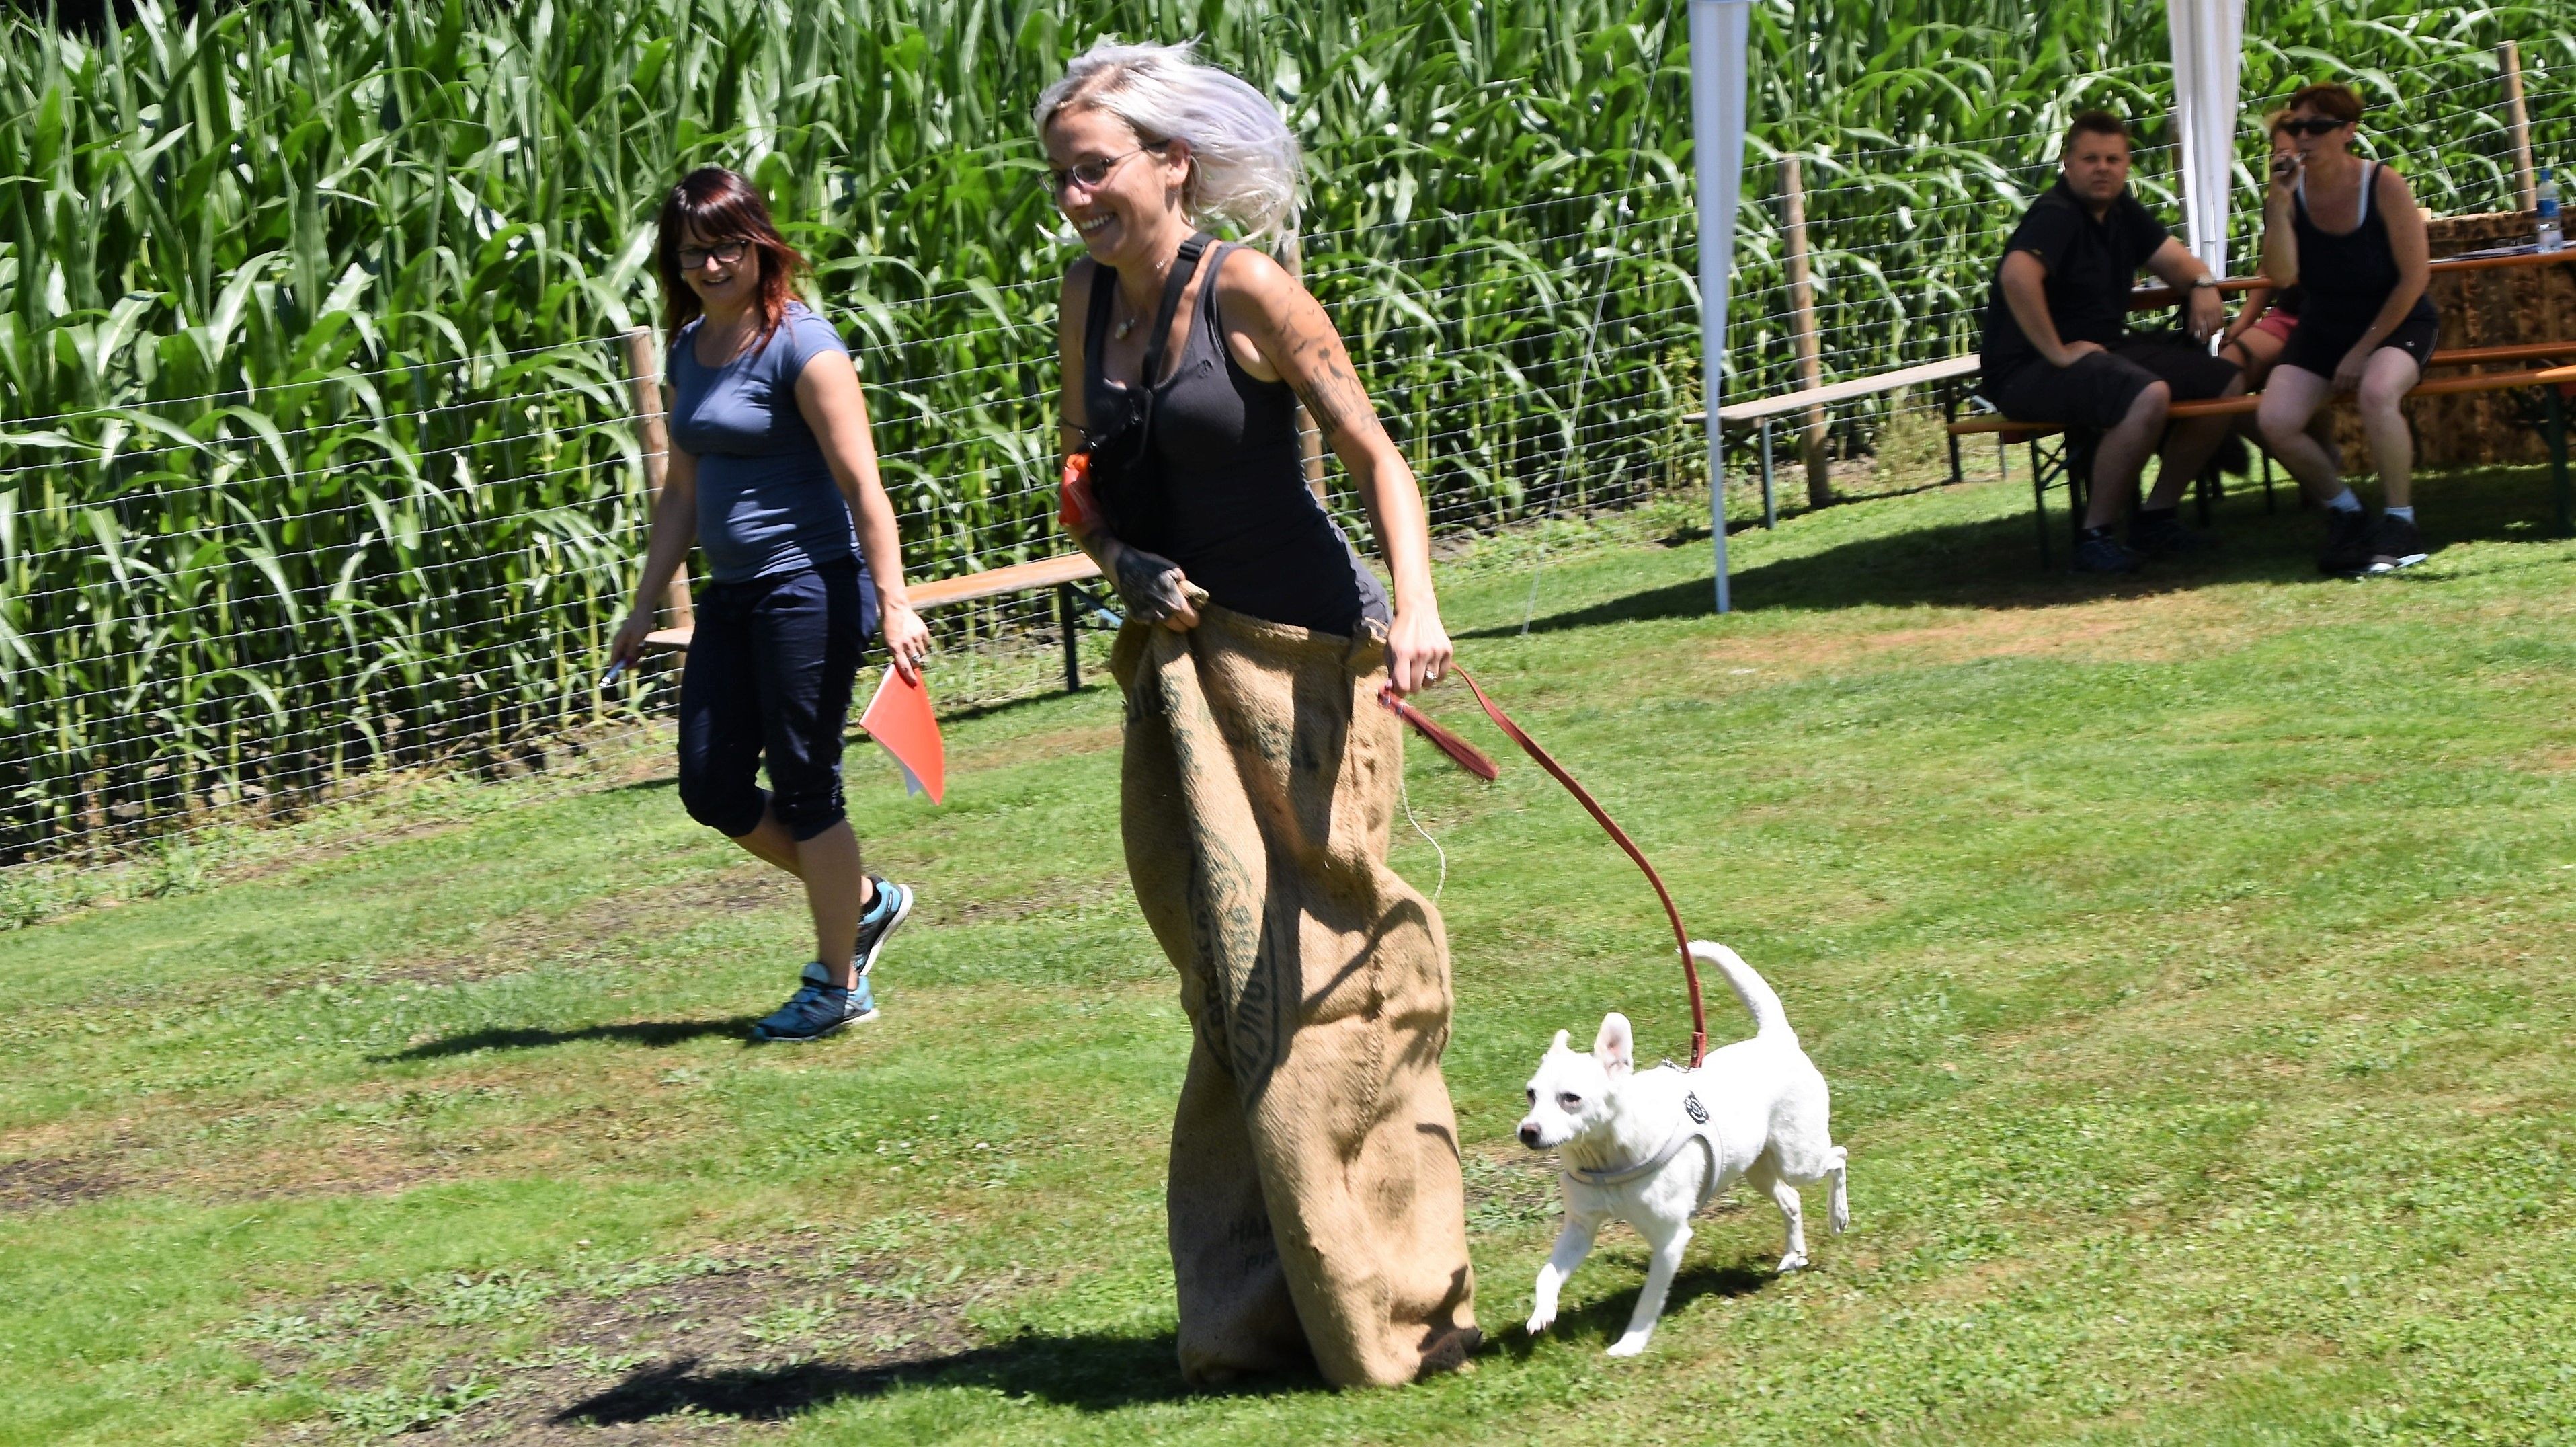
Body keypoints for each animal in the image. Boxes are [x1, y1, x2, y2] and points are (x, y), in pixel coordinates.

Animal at [1517, 941, 1848, 1356]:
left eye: (1571, 1098)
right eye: (1531, 1094)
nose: (1527, 1132)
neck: (1607, 1157)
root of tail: (1776, 1038)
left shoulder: (1670, 1239)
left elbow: (1648, 1300)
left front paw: (1630, 1344)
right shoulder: (1580, 1228)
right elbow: (1547, 1274)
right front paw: (1542, 1313)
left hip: (1799, 1158)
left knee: (1838, 1158)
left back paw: (1838, 1216)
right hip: (1758, 1168)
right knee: (1791, 1200)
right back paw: (1793, 1255)